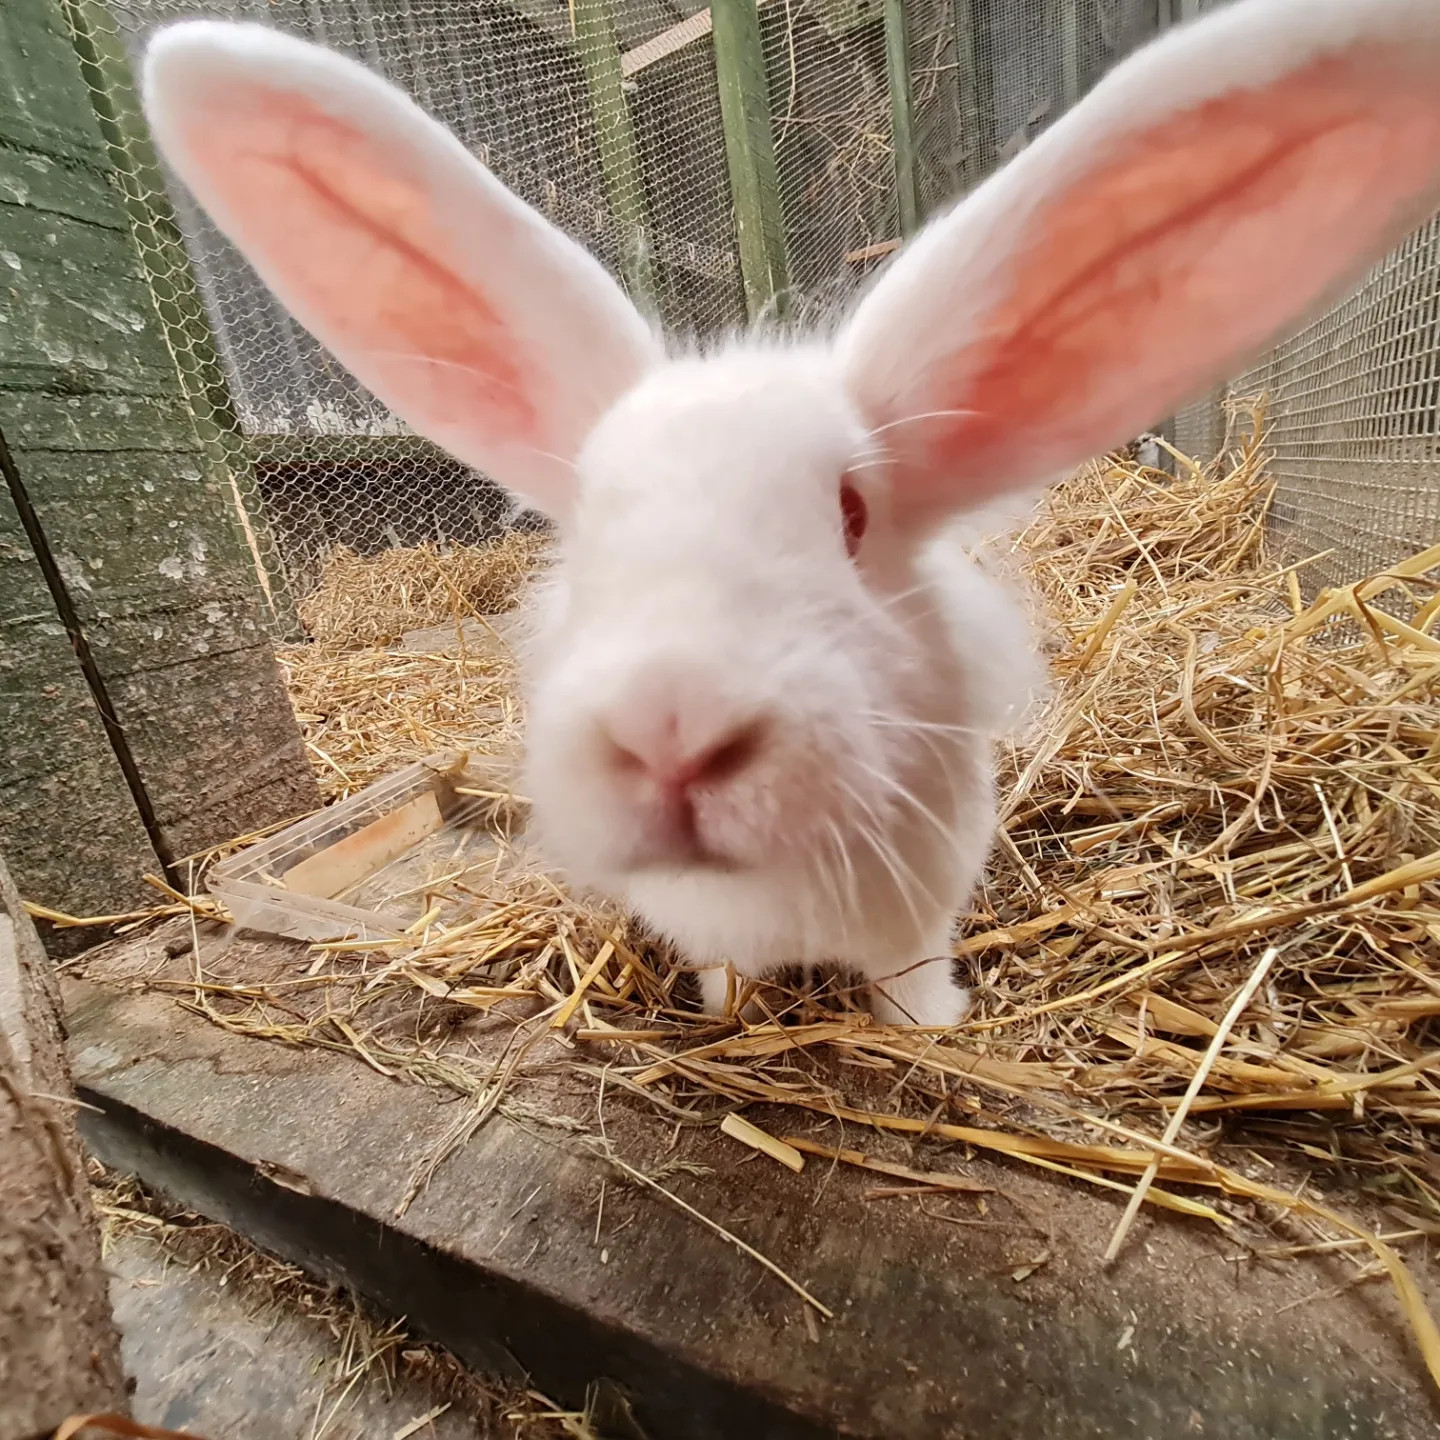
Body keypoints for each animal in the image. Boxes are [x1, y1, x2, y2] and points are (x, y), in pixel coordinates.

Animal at [142, 0, 1440, 1025]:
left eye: (852, 516)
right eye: (588, 528)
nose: (670, 726)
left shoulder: (921, 907)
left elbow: (911, 986)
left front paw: (932, 1034)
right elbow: (722, 981)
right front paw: (719, 1016)